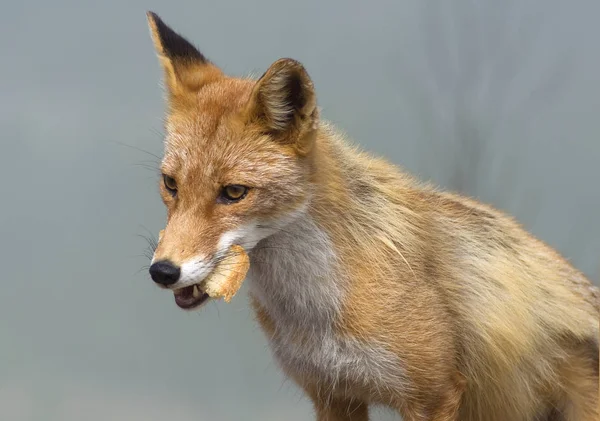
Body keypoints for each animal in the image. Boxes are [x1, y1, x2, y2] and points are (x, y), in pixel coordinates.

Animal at [145, 11, 600, 418]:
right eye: (171, 184)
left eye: (234, 192)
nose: (162, 271)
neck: (317, 310)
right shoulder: (332, 394)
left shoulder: (434, 394)